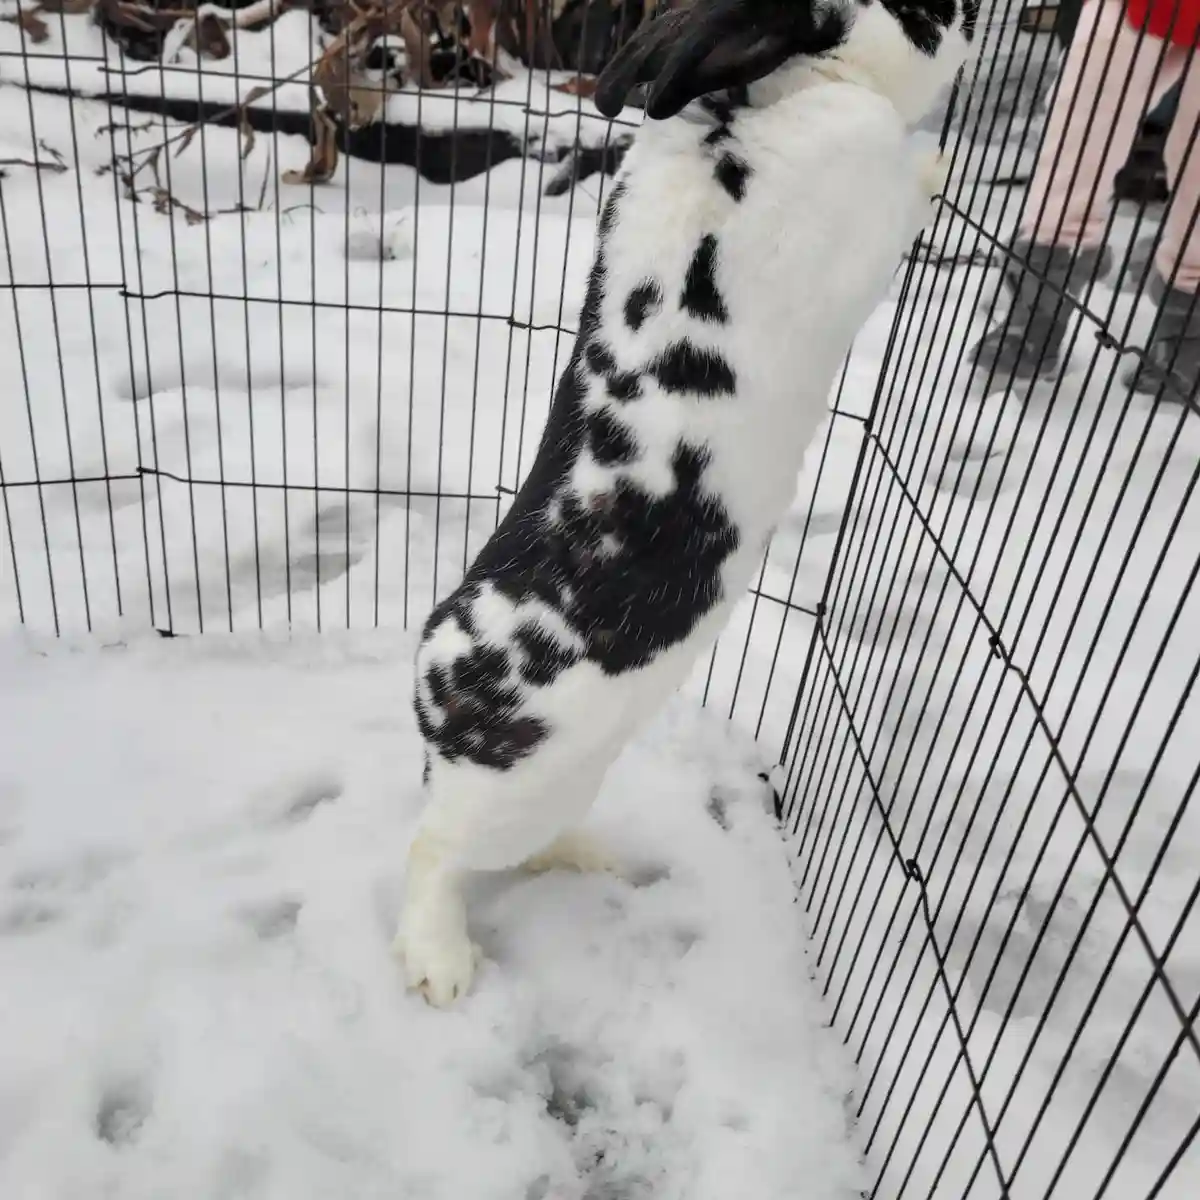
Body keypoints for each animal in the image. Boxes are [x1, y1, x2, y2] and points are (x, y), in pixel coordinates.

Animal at [394, 0, 978, 1006]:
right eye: (921, 11)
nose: (978, 15)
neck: (768, 98)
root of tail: (440, 700)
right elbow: (911, 186)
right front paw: (944, 163)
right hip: (509, 798)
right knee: (435, 855)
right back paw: (442, 968)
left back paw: (589, 859)